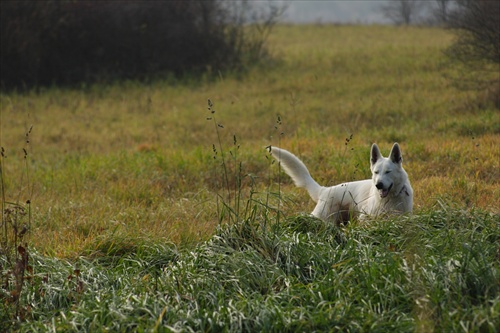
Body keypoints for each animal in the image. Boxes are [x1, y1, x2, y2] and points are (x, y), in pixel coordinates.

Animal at [270, 143, 414, 223]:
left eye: (388, 172)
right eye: (376, 172)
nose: (378, 185)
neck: (392, 198)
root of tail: (324, 190)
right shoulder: (365, 218)